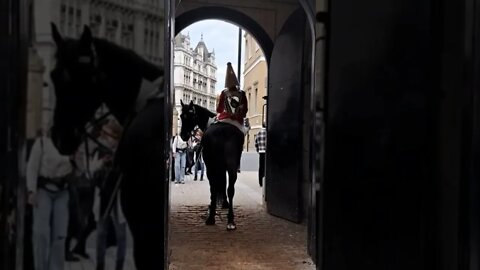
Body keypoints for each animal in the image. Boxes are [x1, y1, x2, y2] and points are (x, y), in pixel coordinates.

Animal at [179, 100, 244, 230]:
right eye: (181, 116)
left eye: (189, 116)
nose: (183, 135)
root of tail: (225, 132)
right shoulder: (223, 166)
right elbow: (223, 183)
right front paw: (224, 203)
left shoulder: (212, 165)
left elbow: (215, 187)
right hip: (232, 164)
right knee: (231, 188)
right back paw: (230, 220)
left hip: (212, 165)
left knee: (214, 187)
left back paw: (211, 217)